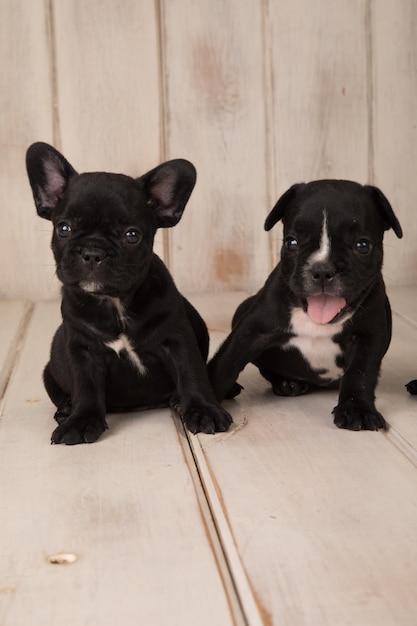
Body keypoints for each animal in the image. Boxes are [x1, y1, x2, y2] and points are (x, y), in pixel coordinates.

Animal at [27, 143, 232, 444]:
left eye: (132, 235)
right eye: (63, 228)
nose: (93, 251)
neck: (114, 301)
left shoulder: (177, 340)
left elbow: (192, 374)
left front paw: (204, 410)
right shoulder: (83, 349)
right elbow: (86, 388)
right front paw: (81, 420)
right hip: (49, 372)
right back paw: (66, 409)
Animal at [208, 178, 404, 426]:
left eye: (363, 246)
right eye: (291, 243)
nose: (322, 269)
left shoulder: (369, 337)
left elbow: (361, 372)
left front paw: (356, 409)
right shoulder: (253, 330)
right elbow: (227, 361)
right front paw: (203, 401)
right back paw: (286, 383)